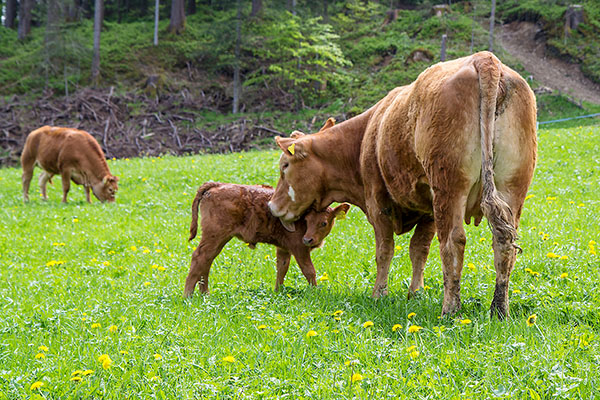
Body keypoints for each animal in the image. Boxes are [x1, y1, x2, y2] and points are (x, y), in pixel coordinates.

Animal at [185, 181, 350, 296]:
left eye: (323, 222)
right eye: (307, 220)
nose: (308, 240)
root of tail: (217, 185)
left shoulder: (284, 248)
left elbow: (282, 268)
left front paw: (278, 291)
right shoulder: (299, 248)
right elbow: (309, 270)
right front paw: (315, 292)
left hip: (217, 240)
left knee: (207, 261)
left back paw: (204, 294)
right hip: (215, 236)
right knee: (199, 258)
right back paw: (188, 295)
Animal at [270, 50, 536, 318]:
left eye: (285, 166)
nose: (272, 206)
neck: (366, 135)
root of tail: (485, 59)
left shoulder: (378, 203)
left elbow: (384, 251)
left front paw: (379, 294)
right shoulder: (428, 210)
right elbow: (419, 250)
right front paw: (415, 293)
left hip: (449, 186)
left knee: (453, 242)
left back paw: (450, 309)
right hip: (512, 186)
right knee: (504, 242)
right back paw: (499, 310)